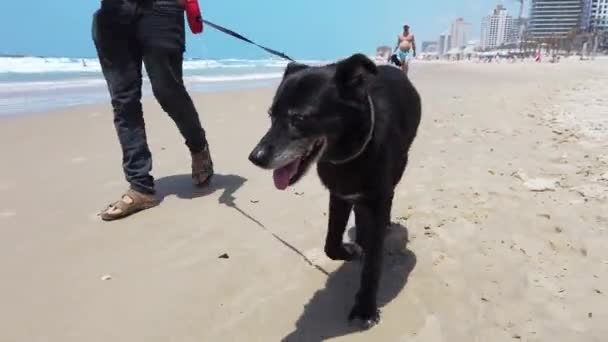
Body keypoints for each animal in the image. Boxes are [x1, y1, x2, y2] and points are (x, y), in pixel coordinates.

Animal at [247, 53, 418, 328]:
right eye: (271, 115)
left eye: (299, 118)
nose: (255, 158)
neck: (347, 154)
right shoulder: (339, 194)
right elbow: (330, 244)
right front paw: (350, 251)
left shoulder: (376, 198)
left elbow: (373, 262)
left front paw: (365, 308)